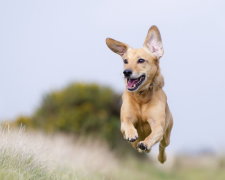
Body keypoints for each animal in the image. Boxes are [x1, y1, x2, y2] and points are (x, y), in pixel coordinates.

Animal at [106, 25, 174, 163]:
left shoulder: (158, 125)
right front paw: (131, 133)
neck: (141, 97)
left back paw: (160, 157)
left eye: (141, 60)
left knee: (162, 146)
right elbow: (127, 123)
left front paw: (146, 143)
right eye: (125, 61)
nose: (126, 72)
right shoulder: (125, 119)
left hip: (167, 136)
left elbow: (154, 134)